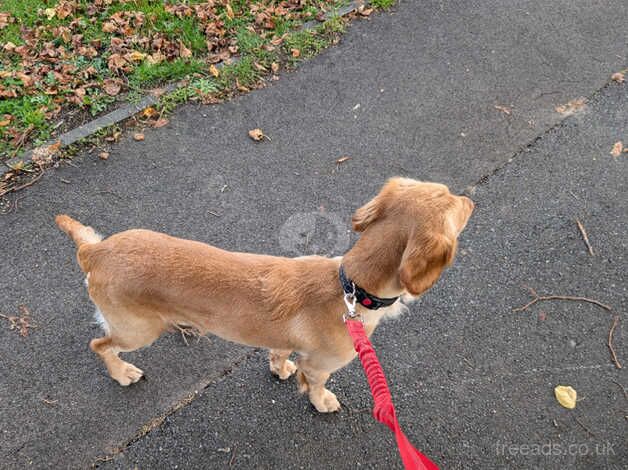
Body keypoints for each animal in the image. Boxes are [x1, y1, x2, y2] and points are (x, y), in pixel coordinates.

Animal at [56, 178, 474, 414]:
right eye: (455, 203)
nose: (472, 199)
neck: (350, 287)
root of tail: (96, 250)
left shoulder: (284, 339)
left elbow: (279, 352)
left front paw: (281, 368)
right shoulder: (320, 365)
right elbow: (317, 385)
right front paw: (322, 402)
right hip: (137, 331)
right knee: (100, 345)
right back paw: (122, 373)